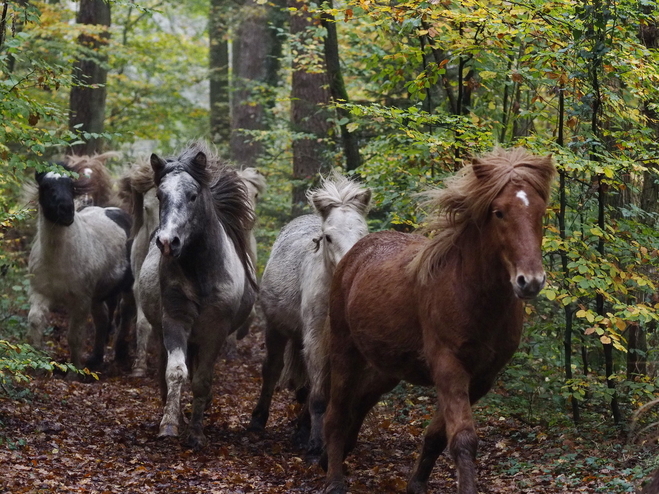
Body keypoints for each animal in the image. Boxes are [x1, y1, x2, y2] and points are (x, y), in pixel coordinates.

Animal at [138, 141, 256, 450]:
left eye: (192, 196)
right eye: (160, 195)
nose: (168, 242)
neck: (200, 272)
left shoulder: (216, 329)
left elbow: (202, 379)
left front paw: (196, 433)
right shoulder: (175, 319)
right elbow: (176, 371)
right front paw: (169, 424)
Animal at [249, 173, 372, 456]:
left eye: (363, 234)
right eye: (328, 237)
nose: (351, 270)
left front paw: (308, 434)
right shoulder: (315, 339)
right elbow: (318, 396)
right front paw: (315, 447)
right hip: (275, 329)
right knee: (272, 369)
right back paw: (258, 420)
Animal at [322, 148, 556, 494]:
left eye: (541, 212)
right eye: (499, 212)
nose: (531, 281)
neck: (473, 295)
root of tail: (354, 253)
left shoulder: (481, 378)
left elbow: (438, 435)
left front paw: (417, 483)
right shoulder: (449, 366)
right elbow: (463, 439)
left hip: (388, 366)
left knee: (361, 401)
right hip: (345, 351)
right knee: (335, 413)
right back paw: (334, 477)